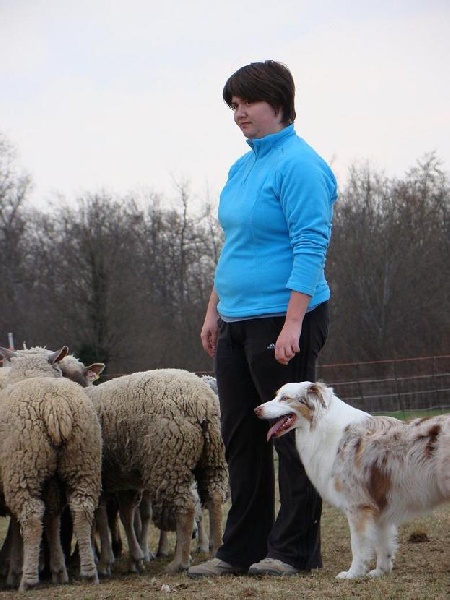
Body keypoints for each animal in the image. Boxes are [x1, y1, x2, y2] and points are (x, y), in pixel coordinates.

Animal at [0, 346, 102, 592]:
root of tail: (54, 404)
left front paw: (15, 570)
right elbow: (53, 516)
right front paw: (58, 569)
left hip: (23, 467)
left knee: (31, 514)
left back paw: (27, 580)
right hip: (83, 460)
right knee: (81, 508)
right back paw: (88, 571)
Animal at [59, 358, 229, 576]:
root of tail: (202, 403)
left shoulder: (98, 478)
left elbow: (102, 517)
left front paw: (105, 562)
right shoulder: (122, 480)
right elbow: (125, 516)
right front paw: (133, 559)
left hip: (169, 460)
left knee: (187, 507)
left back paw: (179, 563)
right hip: (214, 456)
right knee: (214, 497)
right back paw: (216, 550)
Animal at [255, 382, 448, 580]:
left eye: (285, 398)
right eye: (276, 395)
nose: (256, 410)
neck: (322, 427)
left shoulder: (357, 505)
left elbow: (358, 545)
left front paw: (353, 573)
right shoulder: (378, 508)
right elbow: (383, 543)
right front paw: (379, 571)